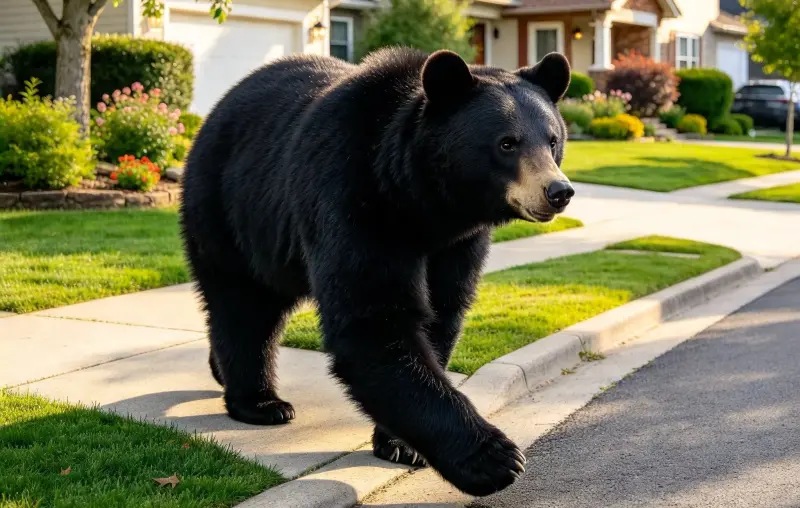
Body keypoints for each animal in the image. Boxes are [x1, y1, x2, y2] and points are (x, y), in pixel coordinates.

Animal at [180, 47, 574, 497]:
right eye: (507, 143)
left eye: (553, 140)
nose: (558, 191)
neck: (424, 203)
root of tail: (215, 112)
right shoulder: (354, 196)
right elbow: (374, 319)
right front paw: (495, 459)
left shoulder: (457, 244)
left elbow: (441, 313)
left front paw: (401, 444)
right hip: (228, 208)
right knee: (243, 305)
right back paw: (261, 402)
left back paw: (221, 371)